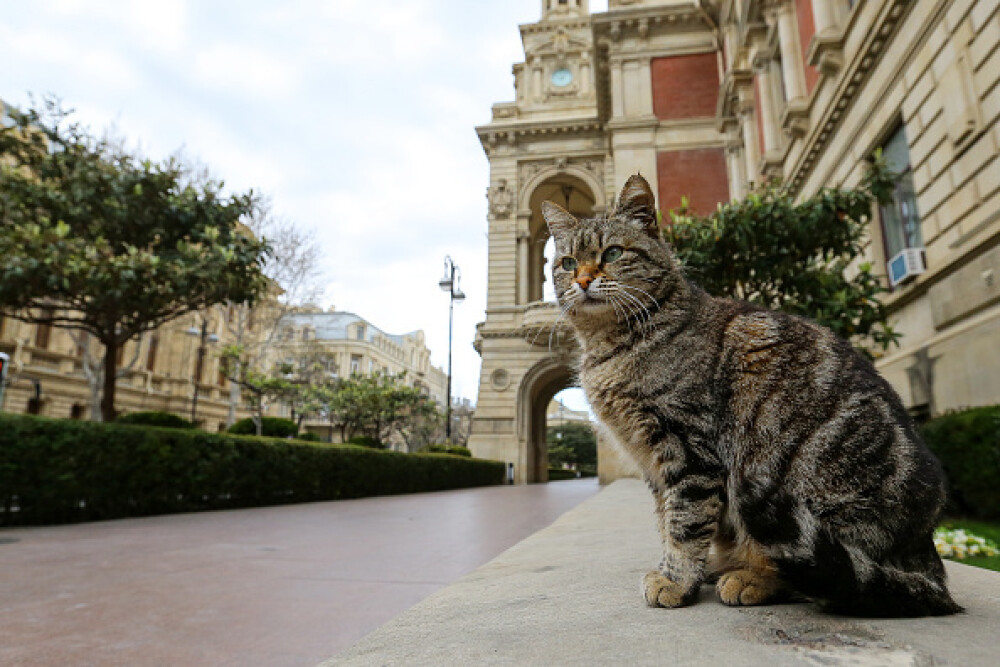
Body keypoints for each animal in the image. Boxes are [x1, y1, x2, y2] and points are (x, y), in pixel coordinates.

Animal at [544, 175, 964, 620]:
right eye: (567, 263)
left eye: (612, 253)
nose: (583, 280)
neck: (609, 346)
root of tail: (929, 560)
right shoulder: (653, 463)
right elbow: (665, 520)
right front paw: (679, 571)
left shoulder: (688, 450)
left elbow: (684, 522)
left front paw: (675, 580)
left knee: (826, 576)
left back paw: (751, 578)